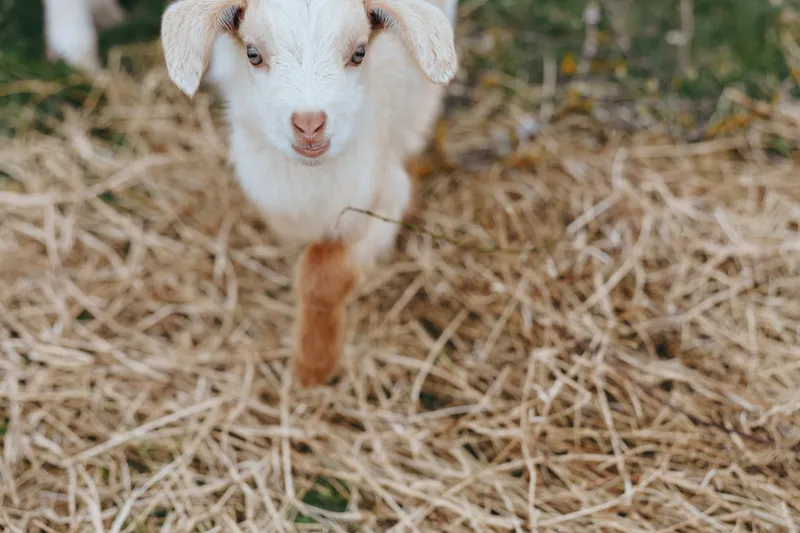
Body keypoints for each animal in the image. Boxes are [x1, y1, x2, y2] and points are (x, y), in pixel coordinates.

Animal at [161, 0, 458, 387]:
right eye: (253, 54)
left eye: (359, 53)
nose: (309, 124)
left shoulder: (383, 195)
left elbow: (322, 276)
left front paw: (313, 366)